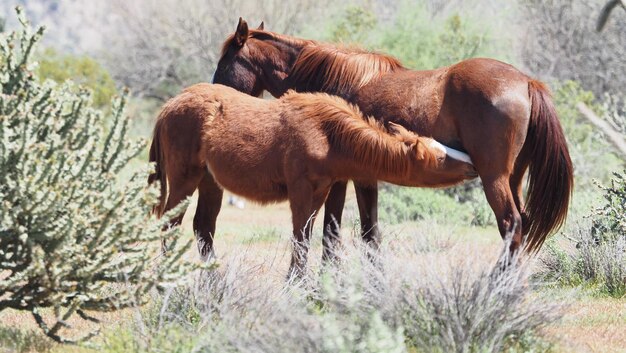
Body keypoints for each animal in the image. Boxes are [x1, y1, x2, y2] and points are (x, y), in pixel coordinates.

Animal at [149, 82, 476, 276]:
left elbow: (310, 236)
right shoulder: (301, 191)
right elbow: (301, 238)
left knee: (203, 228)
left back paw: (214, 278)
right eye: (441, 157)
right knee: (169, 224)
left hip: (210, 182)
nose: (473, 165)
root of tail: (168, 107)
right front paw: (295, 283)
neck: (326, 133)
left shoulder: (320, 192)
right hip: (184, 180)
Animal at [210, 18, 572, 258]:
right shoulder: (359, 177)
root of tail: (526, 83)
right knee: (521, 225)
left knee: (511, 225)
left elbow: (336, 233)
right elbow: (366, 233)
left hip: (493, 178)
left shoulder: (342, 179)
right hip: (513, 178)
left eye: (226, 61)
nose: (213, 94)